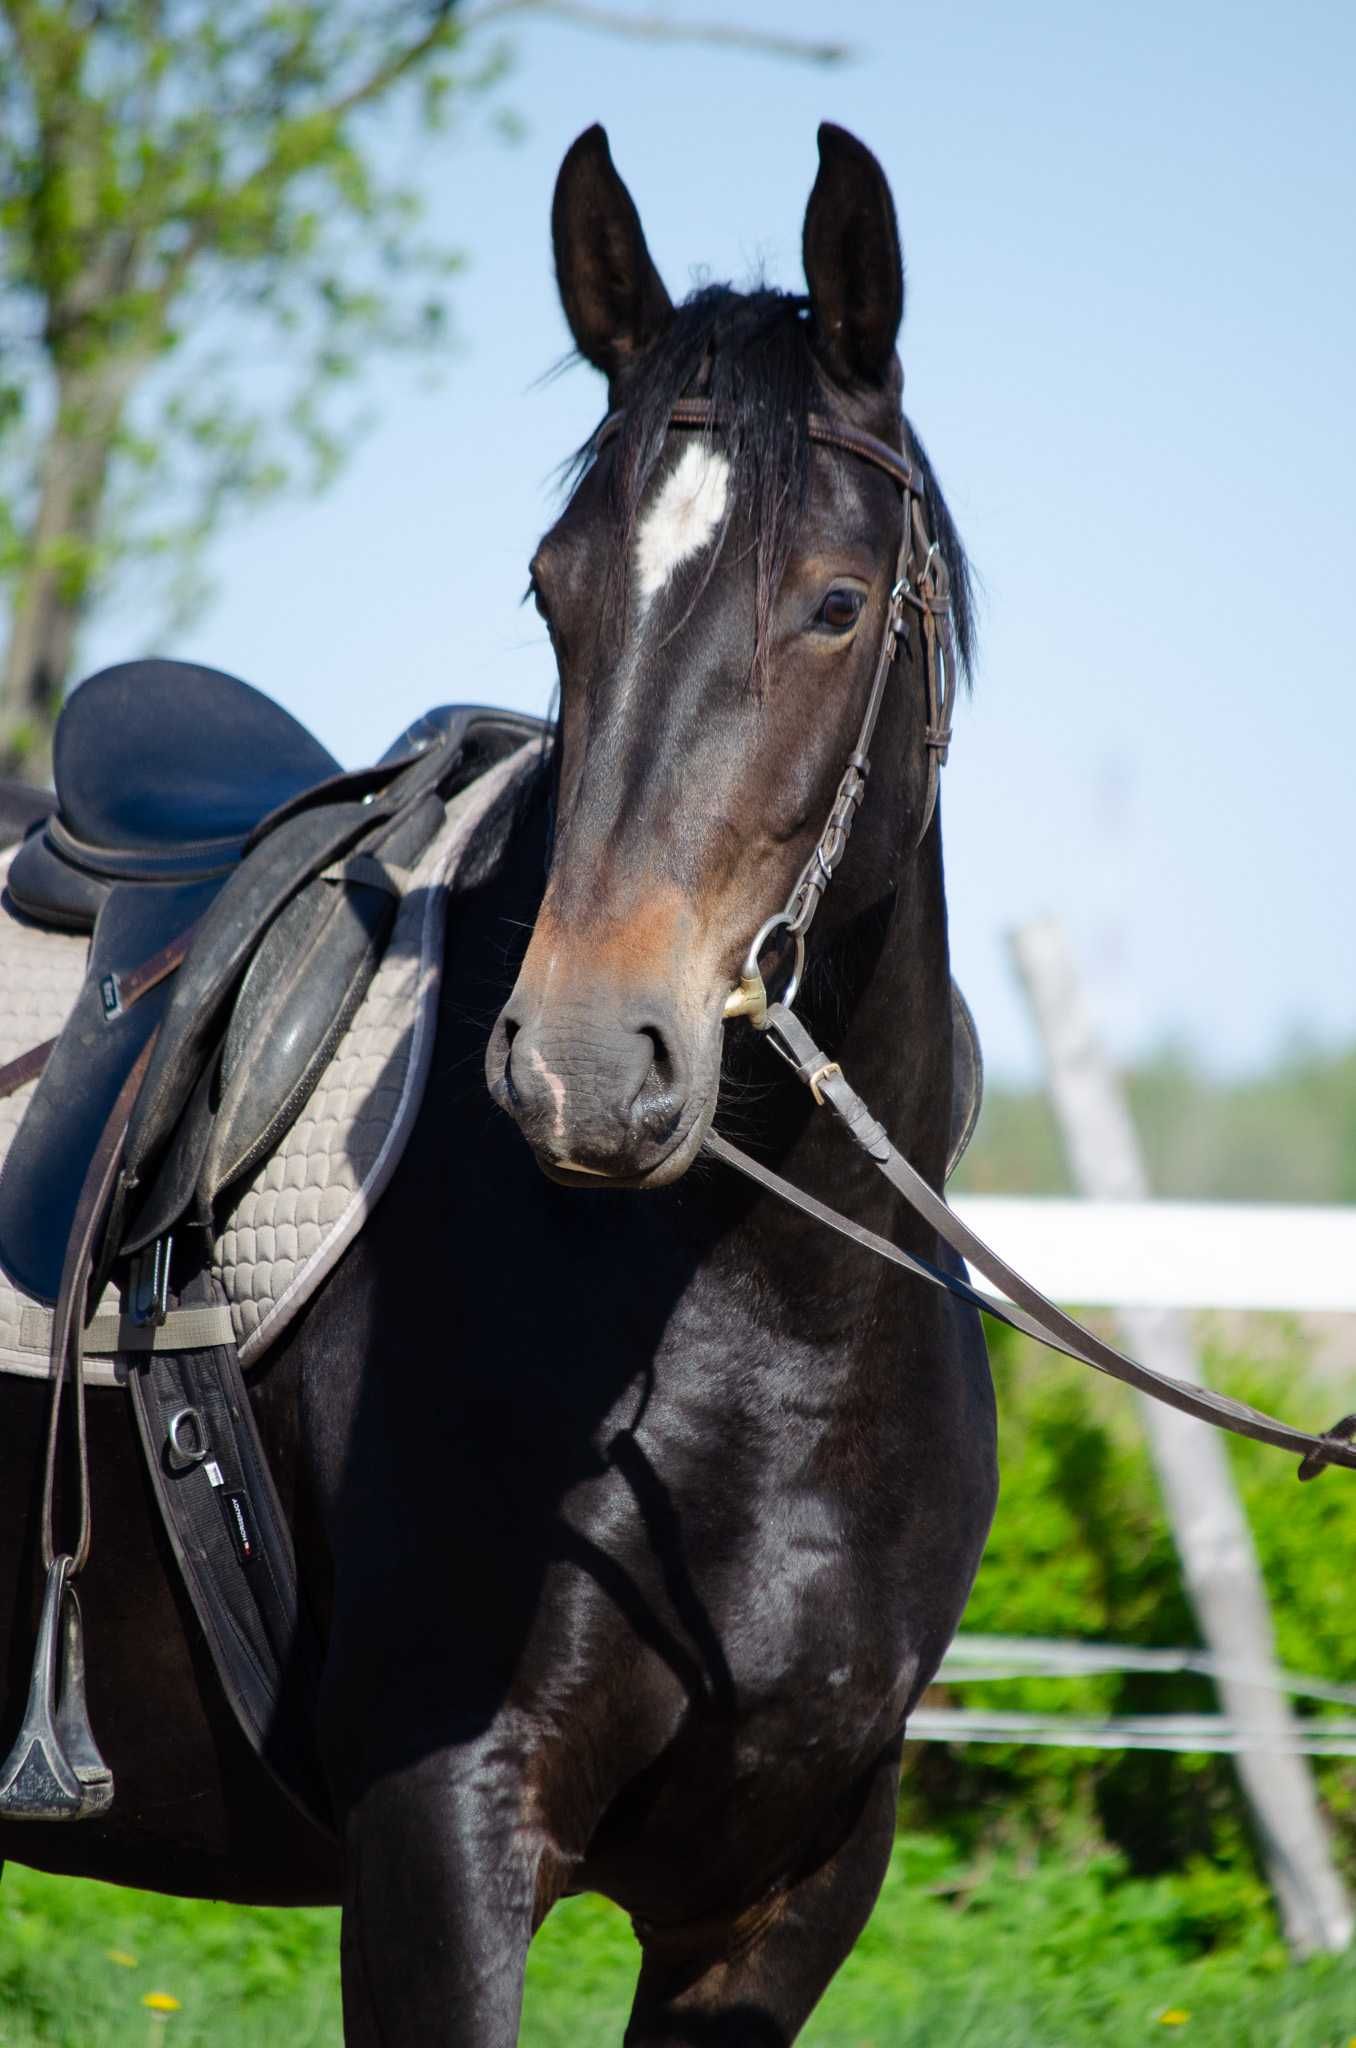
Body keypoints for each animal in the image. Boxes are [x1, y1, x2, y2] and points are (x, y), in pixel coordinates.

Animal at [0, 119, 999, 2039]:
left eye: (837, 606)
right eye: (556, 590)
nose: (588, 1068)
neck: (764, 1341)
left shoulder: (780, 1897)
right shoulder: (443, 1842)